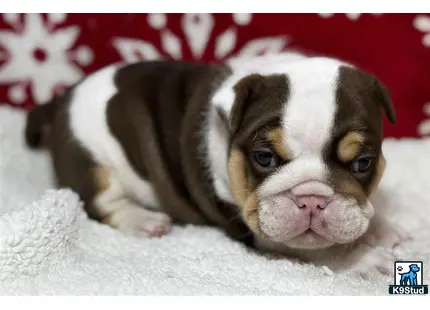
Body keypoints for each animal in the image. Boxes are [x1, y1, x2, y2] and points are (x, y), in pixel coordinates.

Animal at [25, 52, 404, 276]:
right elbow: (318, 251)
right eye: (264, 158)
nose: (311, 199)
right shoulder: (260, 231)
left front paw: (381, 227)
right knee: (101, 202)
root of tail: (58, 103)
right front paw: (362, 260)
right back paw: (144, 220)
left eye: (363, 163)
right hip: (92, 163)